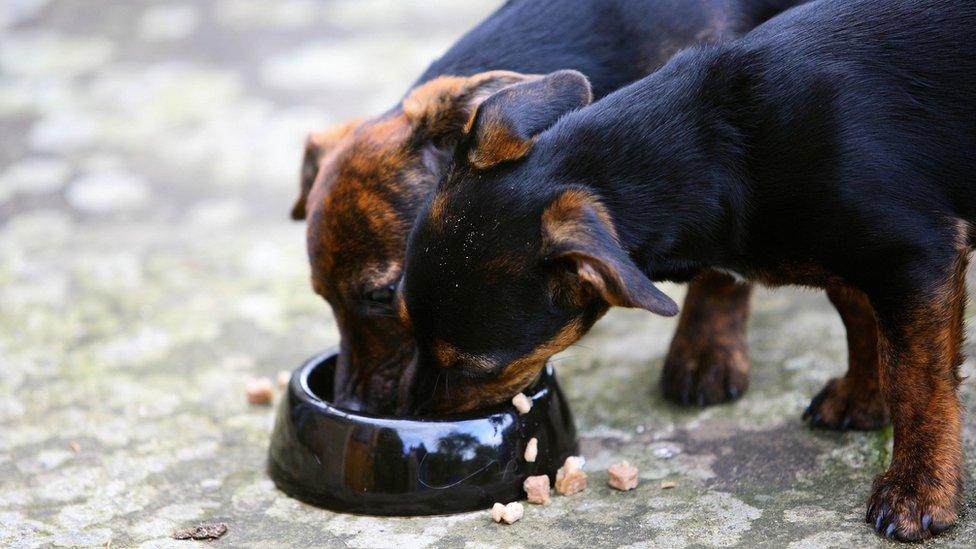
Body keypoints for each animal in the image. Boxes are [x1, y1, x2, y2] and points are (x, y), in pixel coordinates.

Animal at [398, 0, 976, 540]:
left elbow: (915, 380)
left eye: (476, 368)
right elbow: (859, 315)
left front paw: (919, 492)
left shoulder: (917, 254)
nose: (413, 412)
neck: (724, 147)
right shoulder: (857, 258)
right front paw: (863, 396)